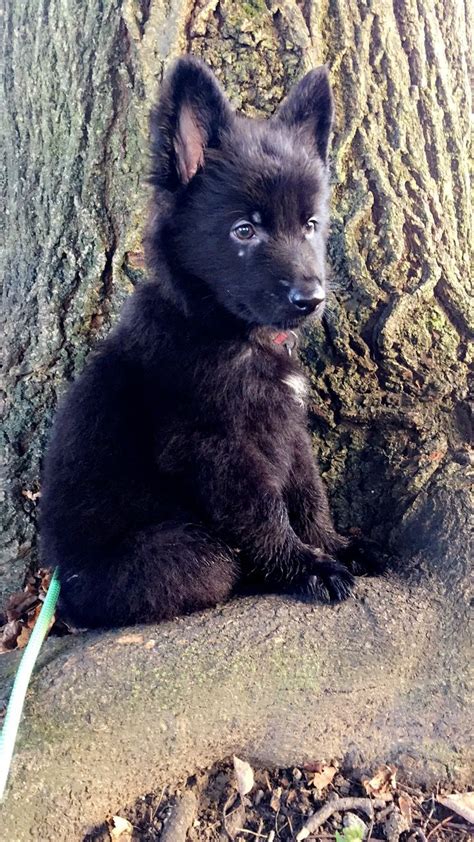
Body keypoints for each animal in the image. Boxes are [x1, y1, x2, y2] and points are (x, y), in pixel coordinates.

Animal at [39, 57, 366, 624]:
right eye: (244, 231)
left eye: (310, 224)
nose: (311, 299)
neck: (221, 329)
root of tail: (67, 586)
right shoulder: (213, 447)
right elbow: (265, 511)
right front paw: (307, 568)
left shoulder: (286, 422)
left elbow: (308, 490)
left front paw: (333, 546)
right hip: (187, 554)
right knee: (212, 565)